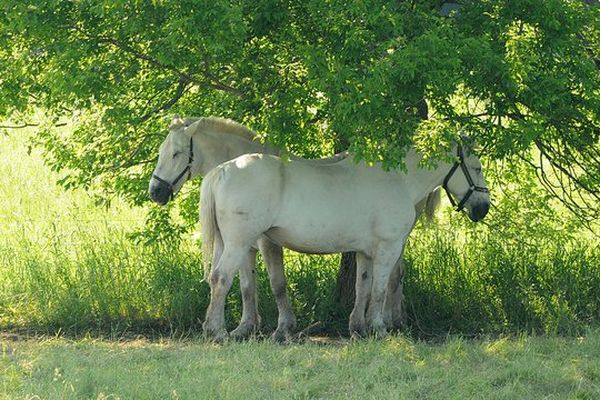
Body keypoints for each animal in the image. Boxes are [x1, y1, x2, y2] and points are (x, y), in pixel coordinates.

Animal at [199, 143, 490, 338]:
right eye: (476, 168)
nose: (483, 208)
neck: (399, 179)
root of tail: (222, 170)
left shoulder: (365, 252)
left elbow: (363, 288)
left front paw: (358, 328)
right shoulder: (388, 248)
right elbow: (379, 290)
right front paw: (378, 329)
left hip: (225, 244)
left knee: (215, 277)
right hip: (238, 244)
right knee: (222, 278)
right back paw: (218, 332)